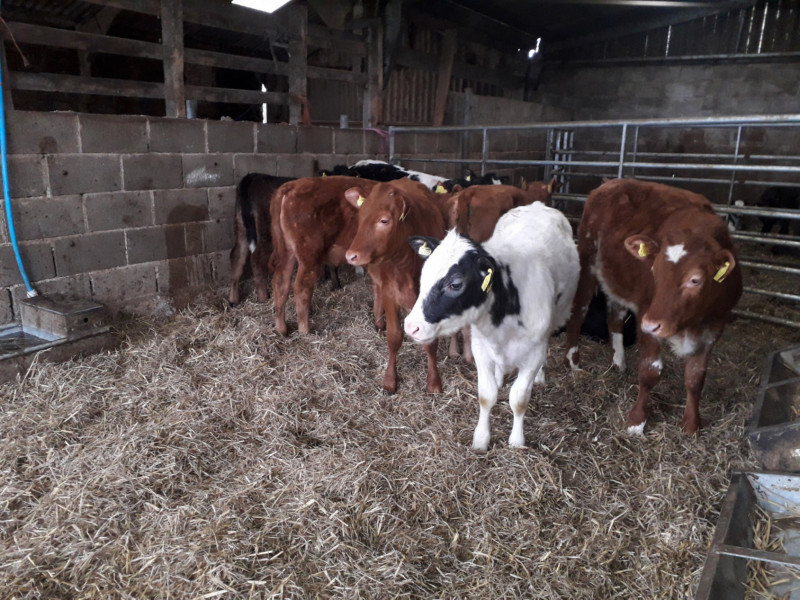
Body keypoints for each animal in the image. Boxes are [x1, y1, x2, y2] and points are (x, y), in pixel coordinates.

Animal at [228, 173, 293, 306]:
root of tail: (253, 176)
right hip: (264, 229)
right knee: (256, 258)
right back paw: (263, 296)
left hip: (241, 226)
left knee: (237, 256)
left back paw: (233, 300)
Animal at [269, 176, 377, 336]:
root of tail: (291, 186)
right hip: (310, 254)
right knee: (301, 288)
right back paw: (305, 331)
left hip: (286, 251)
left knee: (280, 283)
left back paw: (281, 329)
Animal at [344, 178, 447, 394]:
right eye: (361, 217)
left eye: (384, 221)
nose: (351, 255)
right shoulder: (390, 293)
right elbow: (394, 337)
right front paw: (390, 379)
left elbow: (431, 342)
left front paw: (434, 381)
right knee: (376, 290)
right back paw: (378, 321)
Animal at [404, 203, 580, 451]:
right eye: (424, 274)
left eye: (455, 284)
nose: (411, 327)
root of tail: (538, 205)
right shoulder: (480, 347)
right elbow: (486, 395)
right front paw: (481, 439)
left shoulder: (534, 352)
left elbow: (519, 399)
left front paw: (516, 441)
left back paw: (539, 378)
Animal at [563, 178, 742, 435]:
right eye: (654, 271)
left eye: (695, 279)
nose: (652, 323)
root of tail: (612, 182)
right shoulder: (646, 314)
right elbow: (650, 370)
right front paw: (637, 421)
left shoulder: (715, 326)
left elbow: (696, 377)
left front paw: (691, 424)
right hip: (587, 259)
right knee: (579, 311)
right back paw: (573, 361)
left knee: (615, 317)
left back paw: (619, 362)